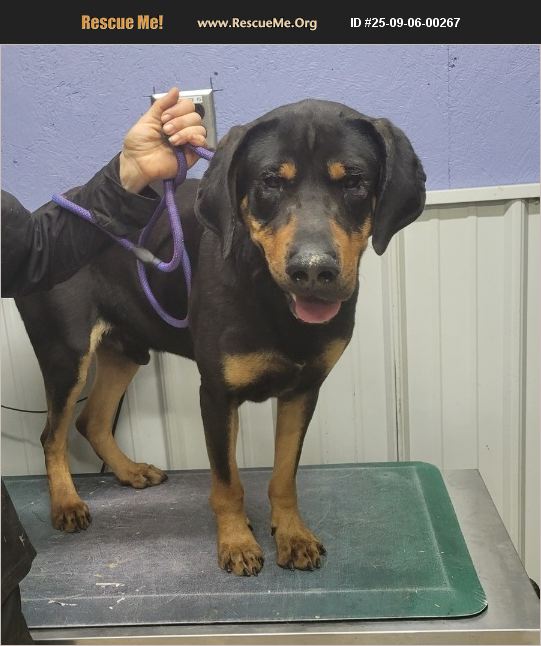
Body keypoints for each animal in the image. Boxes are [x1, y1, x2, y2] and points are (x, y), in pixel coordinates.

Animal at [16, 99, 426, 575]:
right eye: (270, 181)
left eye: (355, 182)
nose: (312, 270)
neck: (270, 294)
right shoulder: (215, 393)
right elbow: (227, 481)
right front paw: (237, 542)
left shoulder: (304, 390)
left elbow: (284, 474)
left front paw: (292, 534)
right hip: (66, 356)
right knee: (53, 434)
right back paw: (66, 502)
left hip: (125, 352)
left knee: (91, 421)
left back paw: (129, 471)